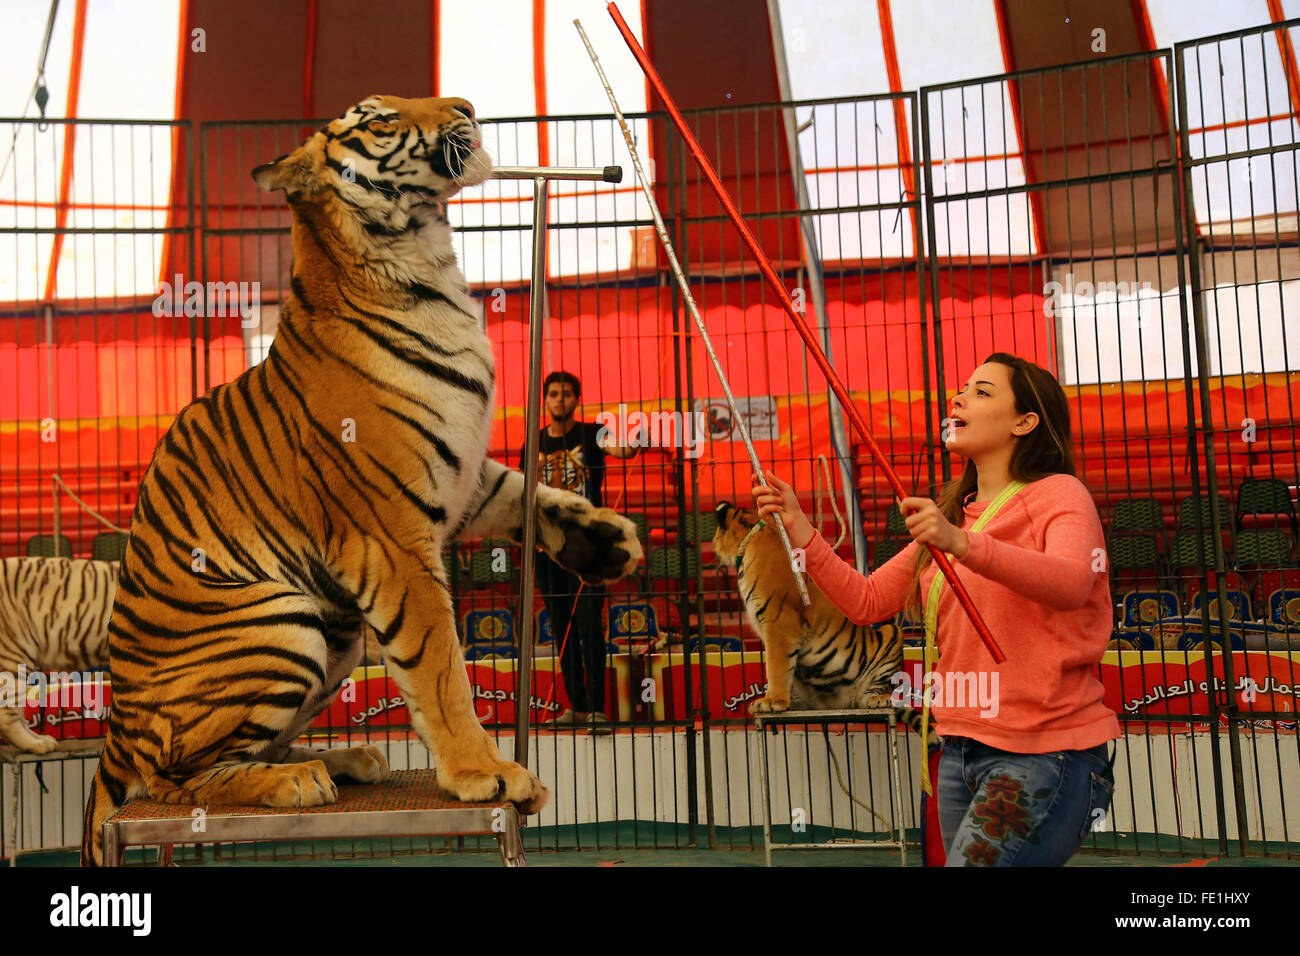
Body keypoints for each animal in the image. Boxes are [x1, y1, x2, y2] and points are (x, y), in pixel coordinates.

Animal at [79, 95, 639, 868]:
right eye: (377, 121)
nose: (466, 105)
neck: (427, 265)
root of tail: (112, 731)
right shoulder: (392, 536)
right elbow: (441, 666)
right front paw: (485, 773)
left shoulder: (462, 473)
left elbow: (531, 492)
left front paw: (604, 540)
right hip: (281, 623)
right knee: (172, 777)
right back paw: (296, 782)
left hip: (331, 631)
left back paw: (341, 759)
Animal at [717, 504, 920, 728]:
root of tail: (844, 702)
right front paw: (779, 701)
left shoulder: (779, 623)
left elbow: (776, 667)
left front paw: (772, 701)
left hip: (892, 632)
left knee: (883, 687)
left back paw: (878, 698)